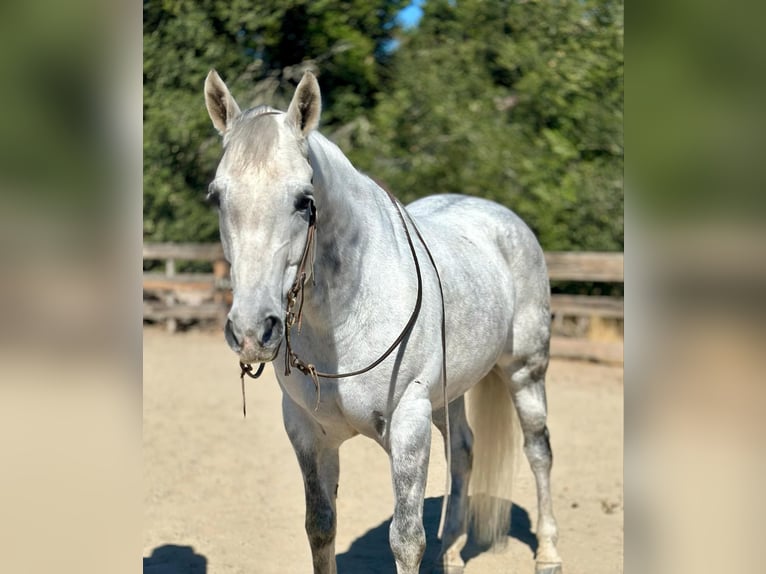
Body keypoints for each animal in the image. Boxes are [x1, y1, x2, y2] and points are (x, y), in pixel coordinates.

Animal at [203, 69, 562, 574]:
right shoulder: (308, 435)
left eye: (303, 200)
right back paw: (453, 552)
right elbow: (320, 527)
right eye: (217, 197)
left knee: (538, 450)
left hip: (526, 372)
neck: (344, 319)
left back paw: (548, 552)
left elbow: (406, 539)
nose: (253, 331)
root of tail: (504, 219)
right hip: (450, 393)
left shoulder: (409, 424)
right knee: (463, 450)